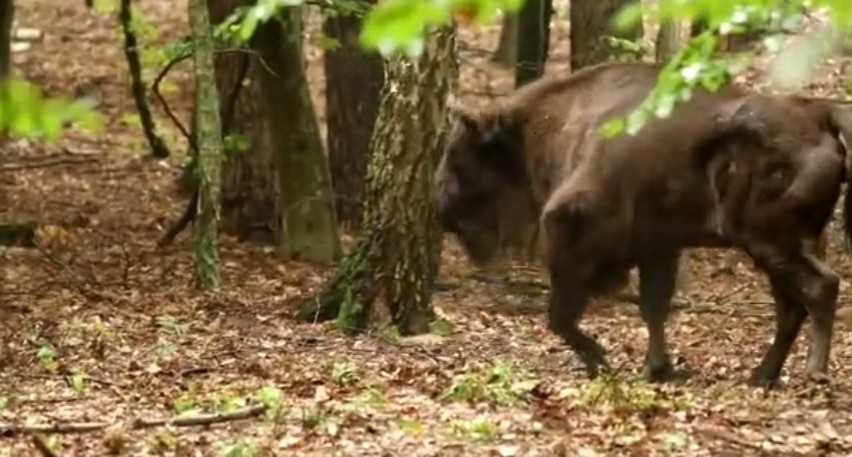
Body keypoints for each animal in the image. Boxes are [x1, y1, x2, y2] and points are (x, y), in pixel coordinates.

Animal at [436, 60, 852, 384]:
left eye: (459, 154)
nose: (439, 206)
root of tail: (820, 116)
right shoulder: (658, 248)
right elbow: (653, 305)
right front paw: (658, 368)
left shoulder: (575, 225)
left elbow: (560, 315)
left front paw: (601, 361)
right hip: (781, 247)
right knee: (791, 305)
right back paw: (763, 374)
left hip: (772, 241)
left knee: (821, 287)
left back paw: (813, 372)